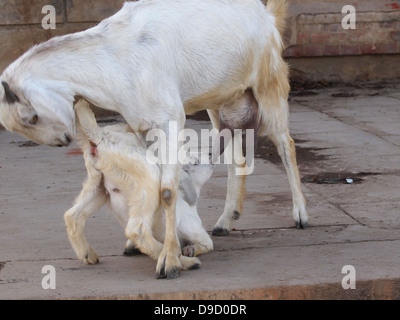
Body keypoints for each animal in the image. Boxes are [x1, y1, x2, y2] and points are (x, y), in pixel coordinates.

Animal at [0, 0, 308, 280]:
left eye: (31, 117)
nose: (63, 139)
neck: (113, 58)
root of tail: (267, 15)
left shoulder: (171, 121)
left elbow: (168, 191)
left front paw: (169, 261)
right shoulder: (142, 125)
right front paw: (147, 246)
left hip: (269, 88)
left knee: (285, 145)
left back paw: (300, 215)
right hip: (222, 102)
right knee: (236, 156)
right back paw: (225, 220)